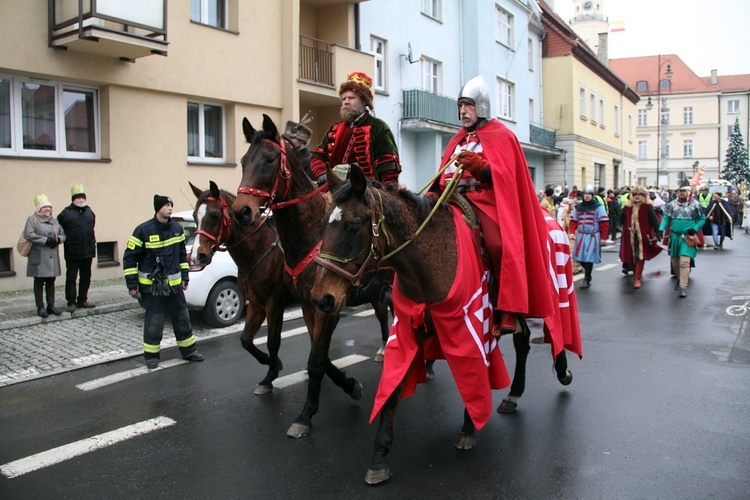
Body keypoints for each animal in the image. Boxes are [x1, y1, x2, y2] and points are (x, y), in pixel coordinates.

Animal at [189, 180, 292, 394]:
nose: (196, 256)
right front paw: (273, 364)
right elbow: (245, 340)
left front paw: (270, 376)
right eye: (195, 216)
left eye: (215, 215)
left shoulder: (274, 304)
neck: (259, 250)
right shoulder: (256, 304)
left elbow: (273, 341)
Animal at [235, 114, 394, 438]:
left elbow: (316, 360)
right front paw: (350, 385)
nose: (241, 211)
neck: (311, 235)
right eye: (244, 160)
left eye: (269, 159)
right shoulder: (311, 306)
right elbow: (318, 356)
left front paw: (306, 415)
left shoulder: (326, 309)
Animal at [312, 164, 576, 484]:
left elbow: (474, 373)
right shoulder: (407, 327)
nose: (321, 299)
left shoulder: (474, 324)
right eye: (323, 225)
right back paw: (513, 394)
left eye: (353, 226)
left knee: (553, 330)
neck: (431, 259)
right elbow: (395, 385)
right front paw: (379, 457)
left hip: (546, 292)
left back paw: (562, 371)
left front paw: (469, 428)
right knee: (523, 339)